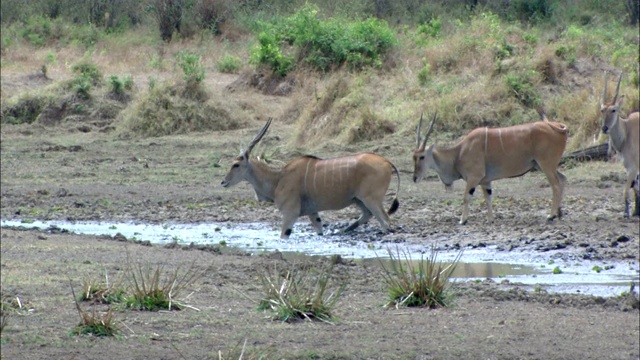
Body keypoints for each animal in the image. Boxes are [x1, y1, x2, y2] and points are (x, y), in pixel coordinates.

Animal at [220, 119, 400, 239]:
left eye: (236, 164)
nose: (223, 182)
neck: (278, 178)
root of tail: (386, 161)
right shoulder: (313, 213)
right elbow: (319, 230)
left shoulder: (290, 213)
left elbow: (283, 235)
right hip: (358, 200)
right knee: (367, 215)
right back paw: (344, 230)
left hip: (371, 199)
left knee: (385, 221)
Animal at [412, 112, 568, 225]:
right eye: (413, 156)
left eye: (422, 157)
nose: (414, 178)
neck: (459, 152)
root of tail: (558, 126)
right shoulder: (485, 181)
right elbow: (488, 197)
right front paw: (490, 219)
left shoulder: (474, 177)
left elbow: (466, 197)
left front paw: (463, 220)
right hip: (544, 165)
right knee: (563, 179)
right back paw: (559, 213)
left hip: (546, 164)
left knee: (555, 185)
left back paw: (551, 215)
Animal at [600, 70, 640, 217]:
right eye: (602, 110)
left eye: (614, 109)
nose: (604, 128)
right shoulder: (630, 168)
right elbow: (635, 189)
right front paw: (635, 212)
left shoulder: (633, 168)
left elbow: (626, 190)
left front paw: (627, 213)